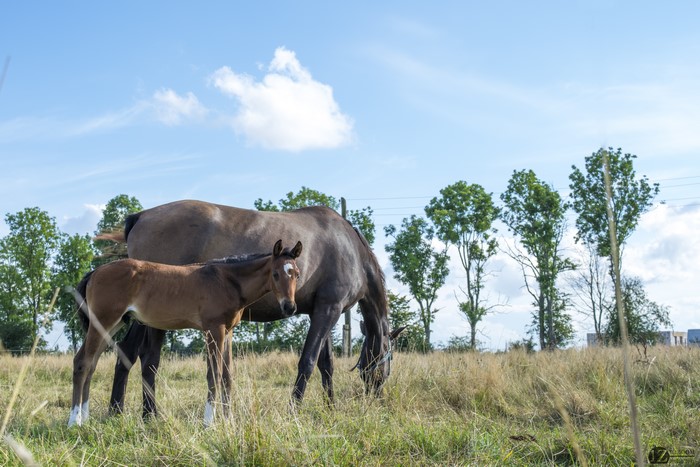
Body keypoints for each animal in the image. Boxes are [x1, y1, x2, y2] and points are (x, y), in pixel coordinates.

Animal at [68, 239, 302, 427]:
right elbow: (214, 375)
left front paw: (229, 421)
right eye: (276, 274)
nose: (289, 307)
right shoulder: (213, 330)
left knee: (92, 364)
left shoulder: (228, 332)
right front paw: (209, 423)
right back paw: (74, 421)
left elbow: (227, 376)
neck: (226, 280)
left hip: (110, 325)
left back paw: (85, 418)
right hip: (103, 321)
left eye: (297, 275)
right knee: (82, 362)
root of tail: (95, 272)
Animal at [99, 200, 403, 417]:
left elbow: (325, 364)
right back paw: (149, 414)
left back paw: (117, 411)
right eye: (388, 360)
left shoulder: (320, 310)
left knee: (127, 352)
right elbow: (308, 361)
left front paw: (331, 408)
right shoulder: (329, 309)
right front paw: (294, 410)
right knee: (149, 359)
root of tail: (141, 216)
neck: (350, 248)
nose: (376, 398)